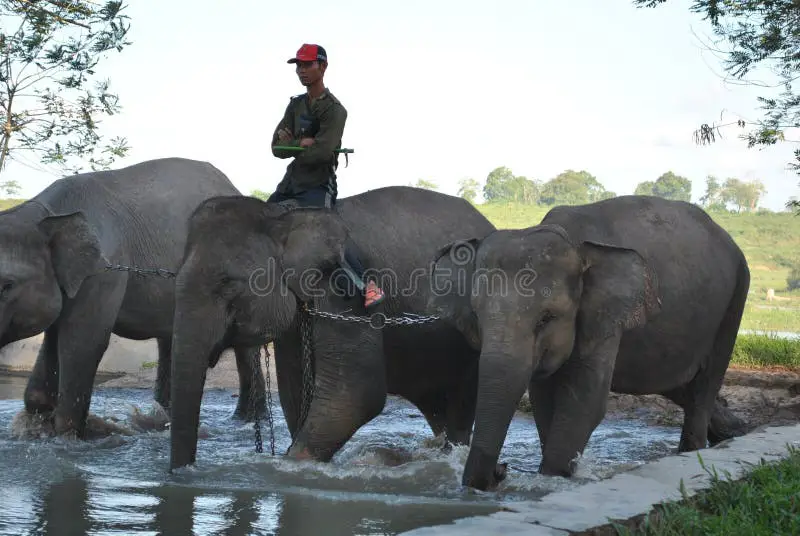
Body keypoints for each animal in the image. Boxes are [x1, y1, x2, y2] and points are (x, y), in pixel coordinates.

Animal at [0, 156, 268, 440]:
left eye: (7, 286)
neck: (45, 212)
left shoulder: (105, 271)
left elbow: (83, 341)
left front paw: (73, 434)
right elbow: (53, 340)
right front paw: (41, 421)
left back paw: (244, 420)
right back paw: (165, 421)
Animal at [166, 186, 496, 472]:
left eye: (227, 284)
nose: (183, 473)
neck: (282, 216)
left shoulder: (341, 289)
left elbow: (357, 394)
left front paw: (292, 466)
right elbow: (295, 392)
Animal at [428, 196, 752, 490]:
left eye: (546, 318)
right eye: (477, 316)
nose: (501, 471)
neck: (574, 244)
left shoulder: (603, 314)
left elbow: (584, 399)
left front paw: (552, 478)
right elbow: (544, 397)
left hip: (735, 297)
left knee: (704, 385)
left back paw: (692, 451)